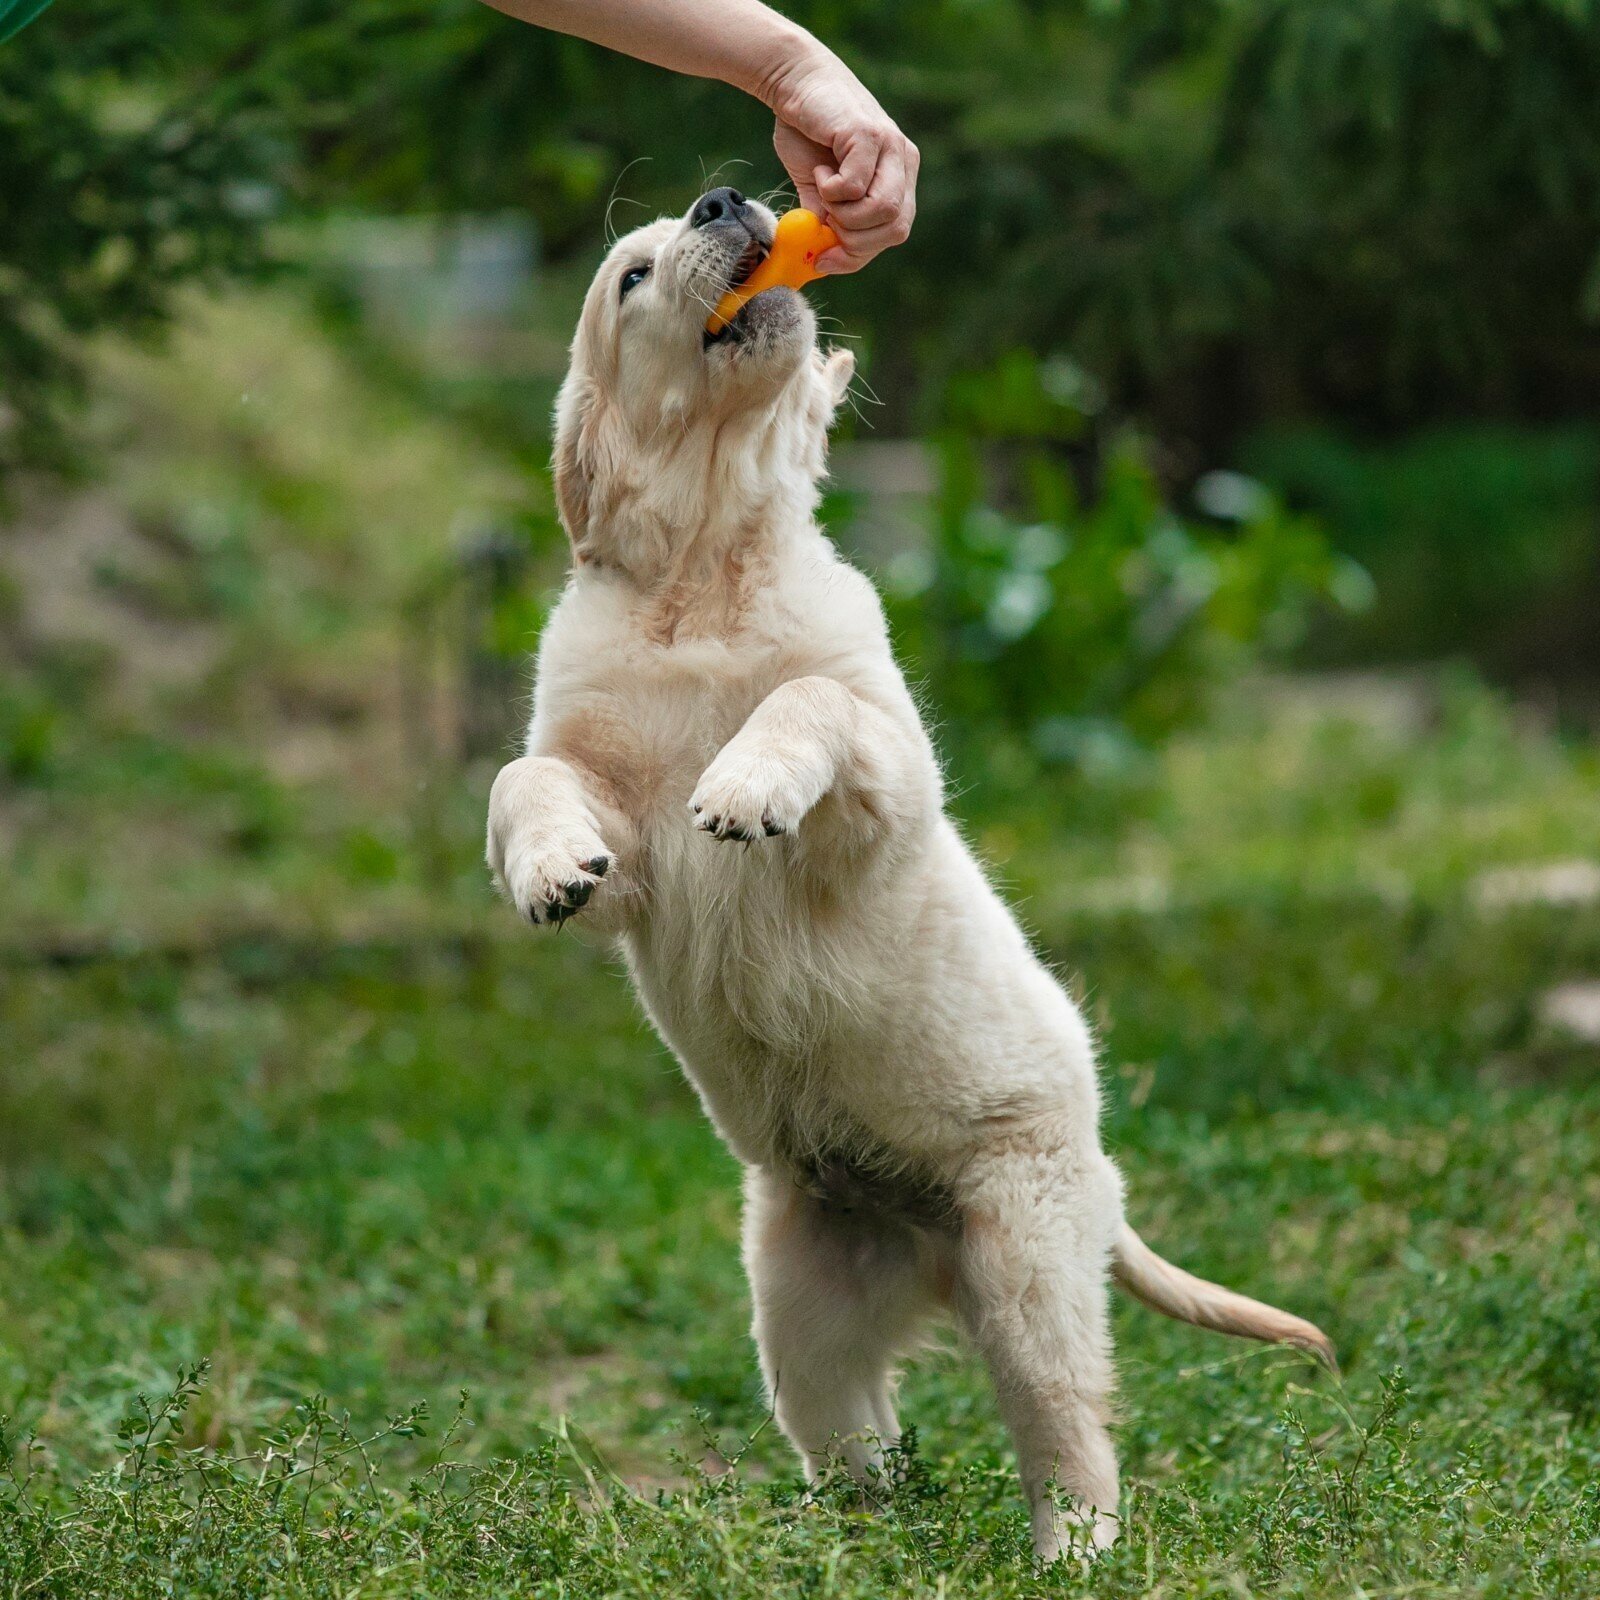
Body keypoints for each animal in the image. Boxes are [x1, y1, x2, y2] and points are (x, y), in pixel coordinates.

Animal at [480, 187, 1331, 1561]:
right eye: (632, 277)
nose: (729, 198)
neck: (703, 576)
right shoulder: (623, 829)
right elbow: (524, 775)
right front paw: (550, 866)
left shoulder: (882, 777)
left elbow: (806, 699)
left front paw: (744, 784)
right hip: (799, 1302)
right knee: (854, 1437)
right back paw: (846, 1536)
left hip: (1024, 1252)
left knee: (1070, 1429)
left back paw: (1070, 1553)